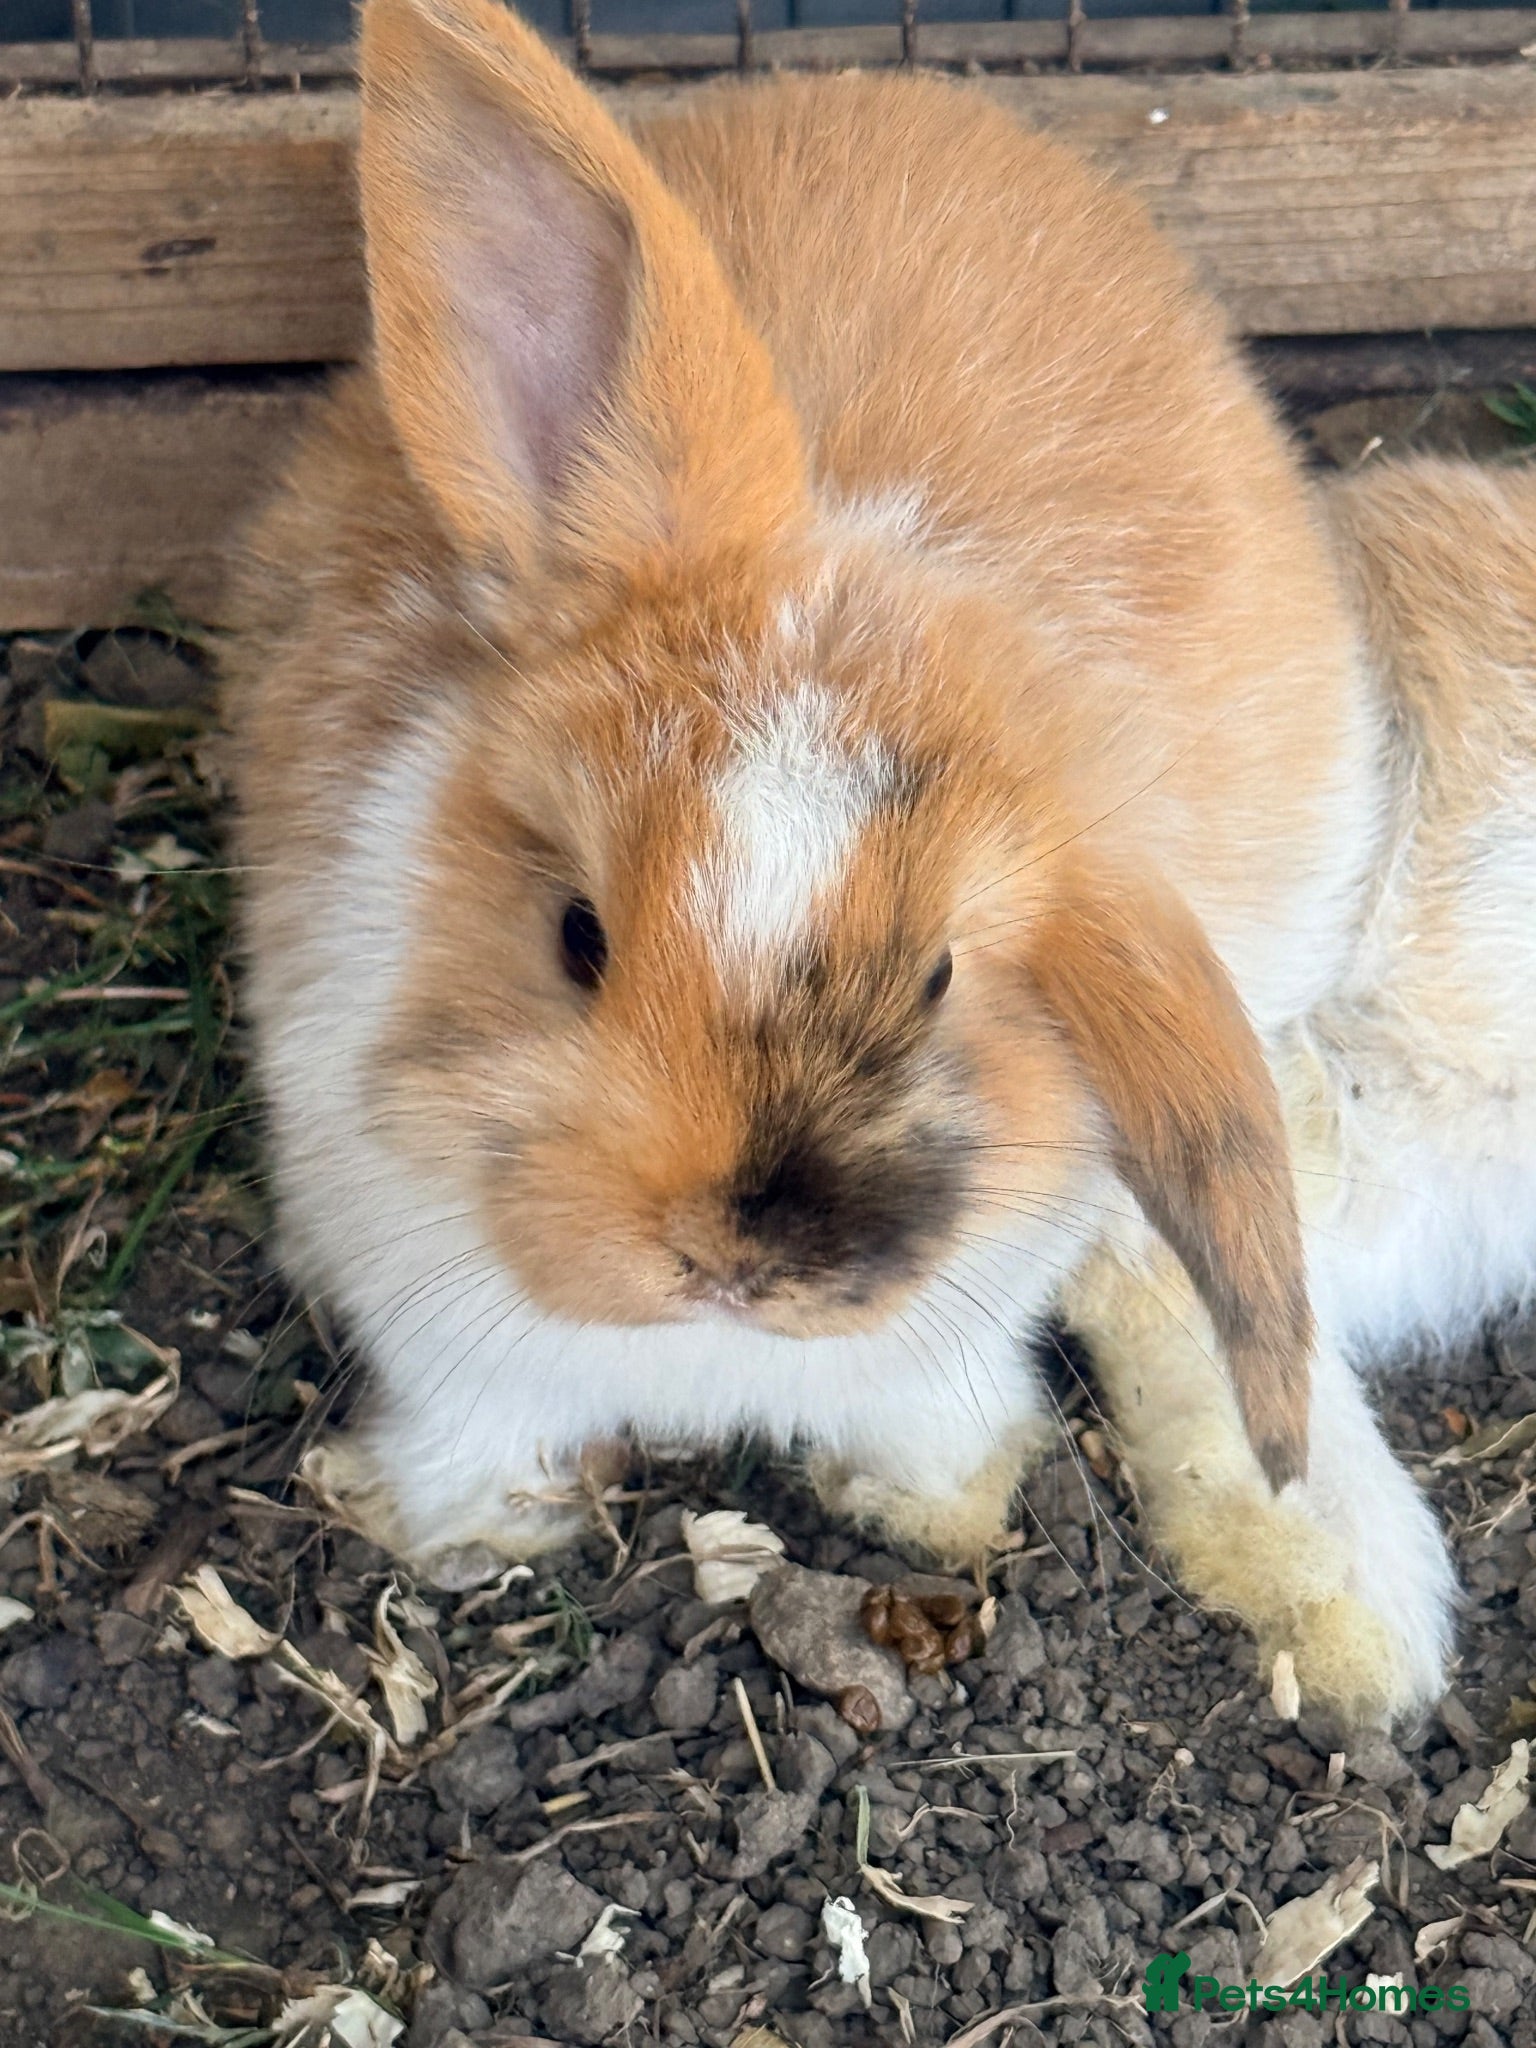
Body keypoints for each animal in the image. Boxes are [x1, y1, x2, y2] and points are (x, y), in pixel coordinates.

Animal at [229, 0, 1526, 1724]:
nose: (733, 1253)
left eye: (942, 977)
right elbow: (478, 1428)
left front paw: (933, 1506)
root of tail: (921, 94)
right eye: (575, 933)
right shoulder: (443, 1321)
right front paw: (463, 1531)